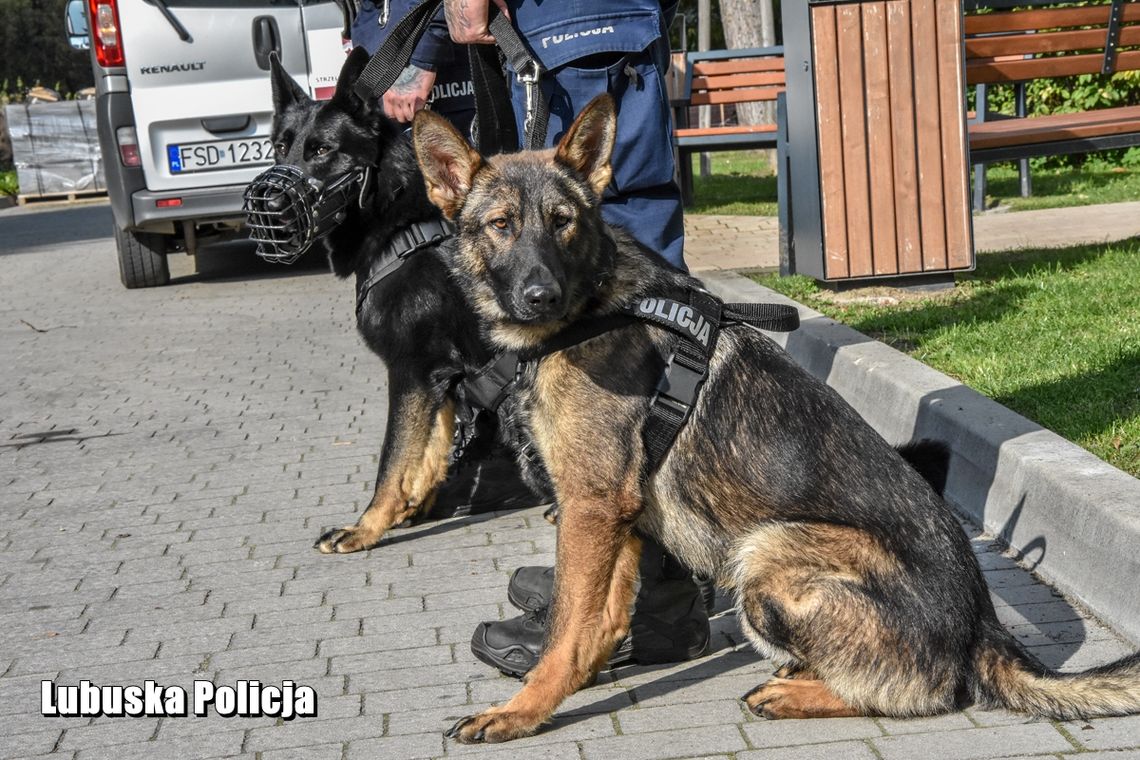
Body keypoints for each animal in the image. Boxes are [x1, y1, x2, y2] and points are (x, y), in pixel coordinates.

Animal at [264, 52, 540, 553]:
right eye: (280, 147)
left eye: (322, 150)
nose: (272, 206)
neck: (396, 227)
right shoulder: (440, 379)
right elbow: (428, 450)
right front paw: (411, 507)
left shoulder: (412, 372)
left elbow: (392, 459)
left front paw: (366, 526)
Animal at [414, 95, 1140, 742]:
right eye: (502, 225)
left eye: (561, 221)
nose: (541, 295)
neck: (594, 303)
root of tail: (983, 626)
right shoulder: (615, 515)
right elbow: (595, 621)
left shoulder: (590, 506)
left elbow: (565, 629)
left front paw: (523, 709)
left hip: (769, 551)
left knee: (928, 693)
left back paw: (797, 690)